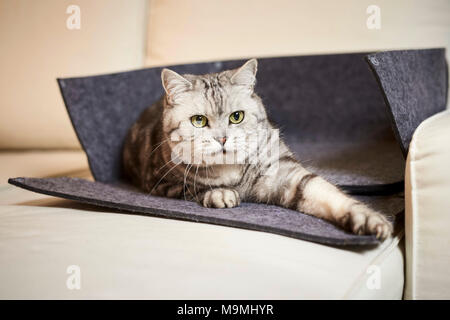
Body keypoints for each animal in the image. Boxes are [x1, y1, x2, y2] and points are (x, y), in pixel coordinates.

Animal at [121, 58, 392, 239]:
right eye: (198, 121)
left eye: (237, 117)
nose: (222, 139)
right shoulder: (163, 182)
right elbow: (196, 187)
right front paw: (221, 193)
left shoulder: (284, 173)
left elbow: (324, 191)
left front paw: (368, 218)